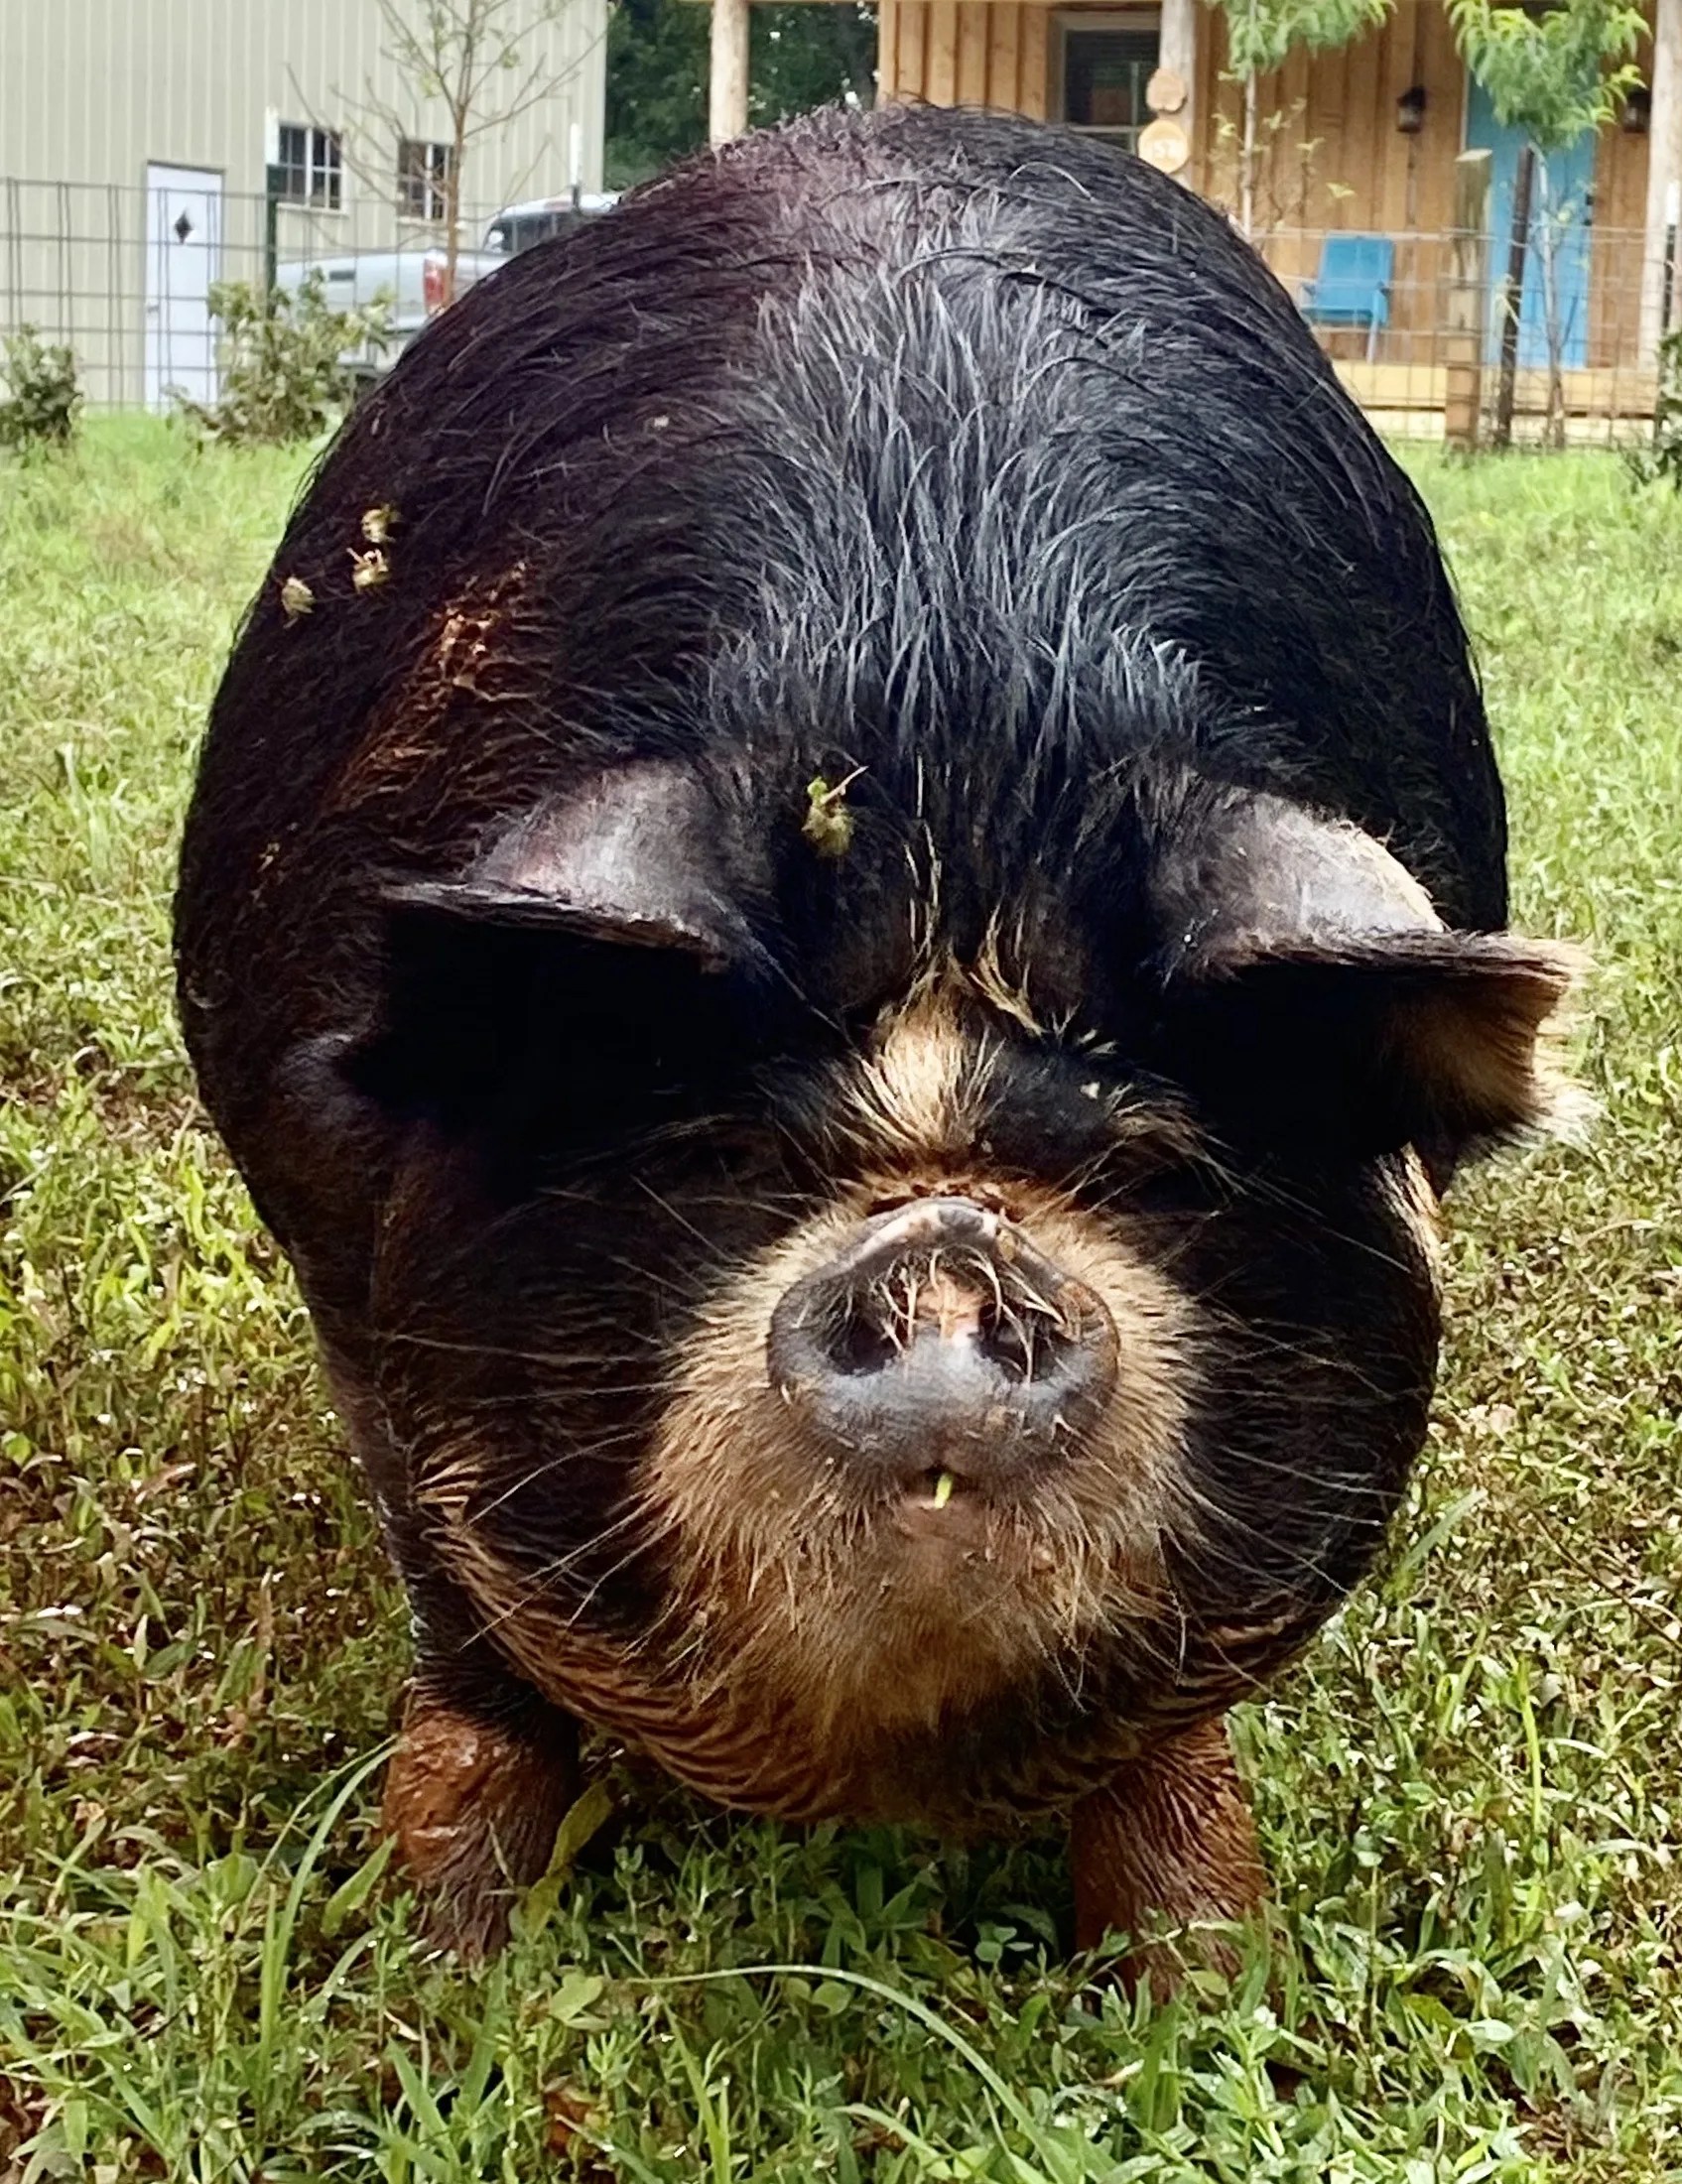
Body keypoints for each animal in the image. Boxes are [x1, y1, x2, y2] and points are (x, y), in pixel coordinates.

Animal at [175, 103, 1574, 1976]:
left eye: (1153, 1167)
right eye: (726, 1153)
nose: (942, 1265)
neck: (950, 781)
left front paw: (1203, 1971)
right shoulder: (346, 1255)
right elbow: (463, 1625)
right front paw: (440, 1957)